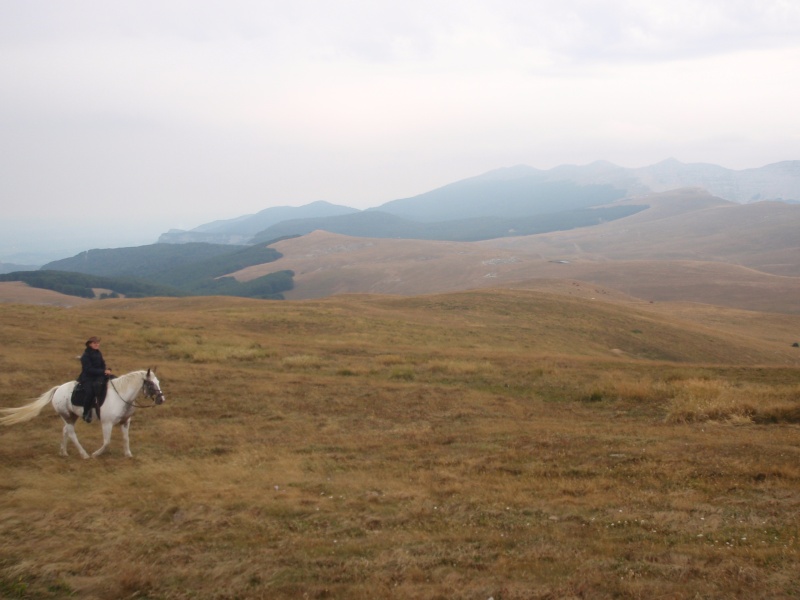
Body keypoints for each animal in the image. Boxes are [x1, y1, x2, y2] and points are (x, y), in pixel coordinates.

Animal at [1, 366, 164, 460]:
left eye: (158, 382)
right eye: (150, 383)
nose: (161, 399)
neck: (121, 396)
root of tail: (58, 389)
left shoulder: (125, 422)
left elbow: (126, 439)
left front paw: (128, 454)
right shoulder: (107, 423)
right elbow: (106, 442)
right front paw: (96, 454)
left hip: (71, 416)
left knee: (65, 430)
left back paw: (64, 452)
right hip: (67, 416)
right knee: (71, 433)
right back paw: (84, 454)